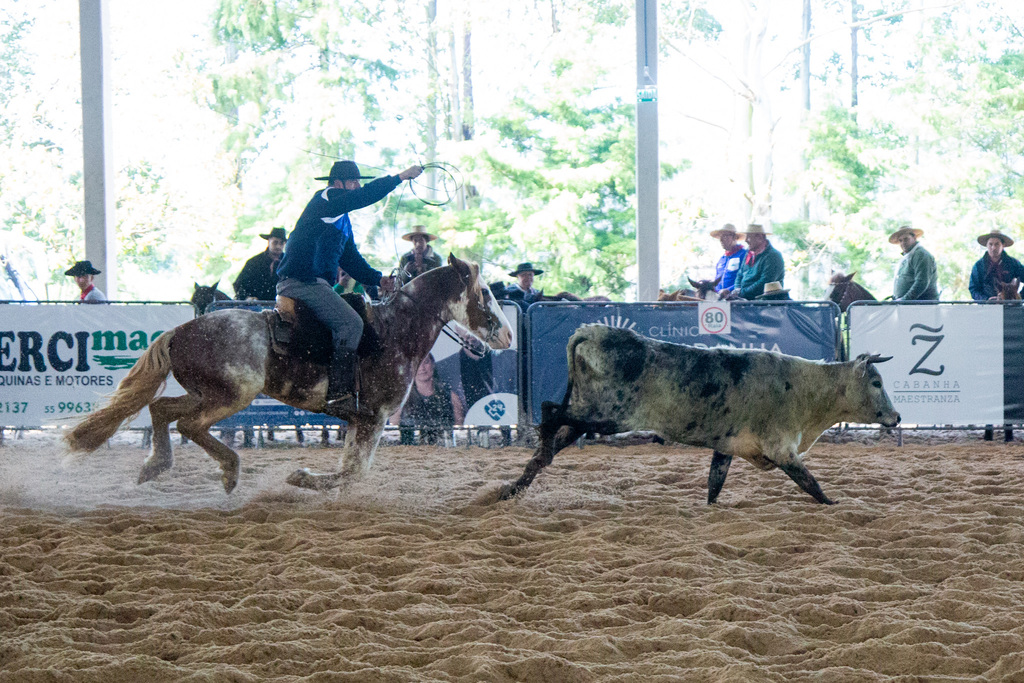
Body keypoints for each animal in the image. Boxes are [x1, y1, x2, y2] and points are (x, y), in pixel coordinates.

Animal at [66, 255, 512, 497]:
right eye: (486, 293)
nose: (508, 334)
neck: (394, 330)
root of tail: (181, 330)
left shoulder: (361, 421)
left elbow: (352, 471)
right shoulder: (375, 417)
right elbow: (354, 471)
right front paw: (300, 477)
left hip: (205, 393)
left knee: (161, 409)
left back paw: (155, 466)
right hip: (232, 396)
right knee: (189, 425)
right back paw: (229, 471)